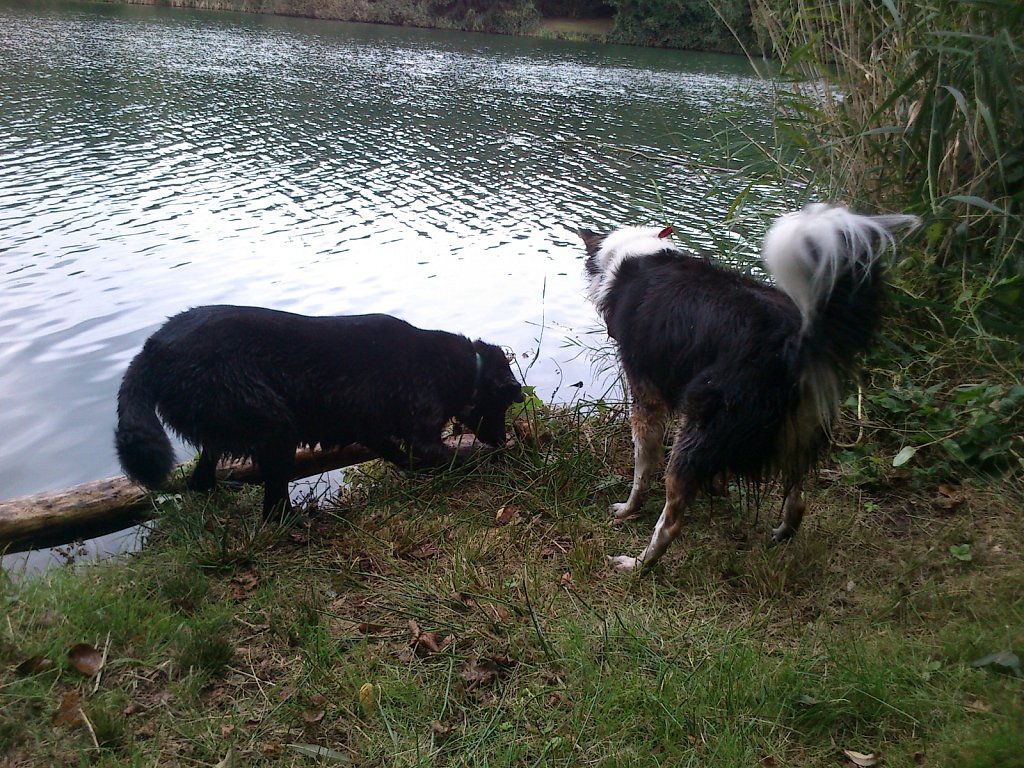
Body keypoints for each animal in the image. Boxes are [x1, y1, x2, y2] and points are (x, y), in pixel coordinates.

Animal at [116, 305, 524, 518]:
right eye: (503, 405)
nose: (502, 440)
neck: (462, 369)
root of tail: (152, 351)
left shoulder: (373, 431)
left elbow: (400, 455)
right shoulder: (421, 432)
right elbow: (450, 457)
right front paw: (487, 465)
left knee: (200, 479)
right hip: (274, 426)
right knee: (273, 508)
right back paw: (303, 519)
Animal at [581, 204, 925, 573]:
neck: (636, 254)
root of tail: (794, 344)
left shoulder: (646, 396)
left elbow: (643, 464)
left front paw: (627, 509)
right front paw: (716, 490)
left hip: (703, 424)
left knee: (670, 522)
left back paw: (638, 564)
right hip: (797, 433)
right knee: (798, 499)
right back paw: (780, 535)